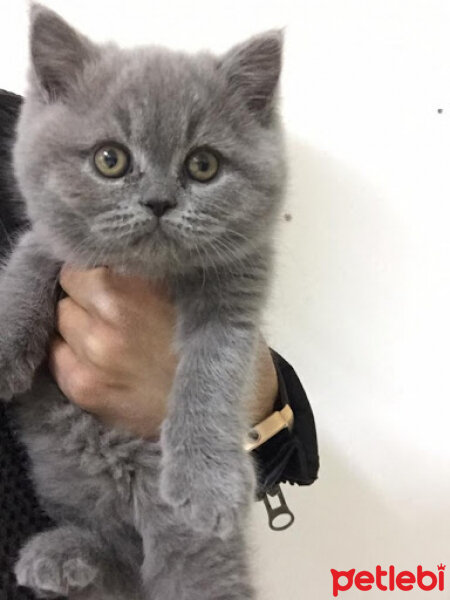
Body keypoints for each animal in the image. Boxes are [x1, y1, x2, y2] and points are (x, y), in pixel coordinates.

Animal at [0, 4, 284, 600]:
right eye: (110, 159)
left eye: (203, 165)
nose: (157, 201)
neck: (145, 273)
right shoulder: (57, 243)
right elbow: (30, 257)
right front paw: (6, 348)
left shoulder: (238, 295)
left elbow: (212, 370)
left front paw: (207, 483)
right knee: (121, 564)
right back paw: (64, 557)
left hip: (196, 557)